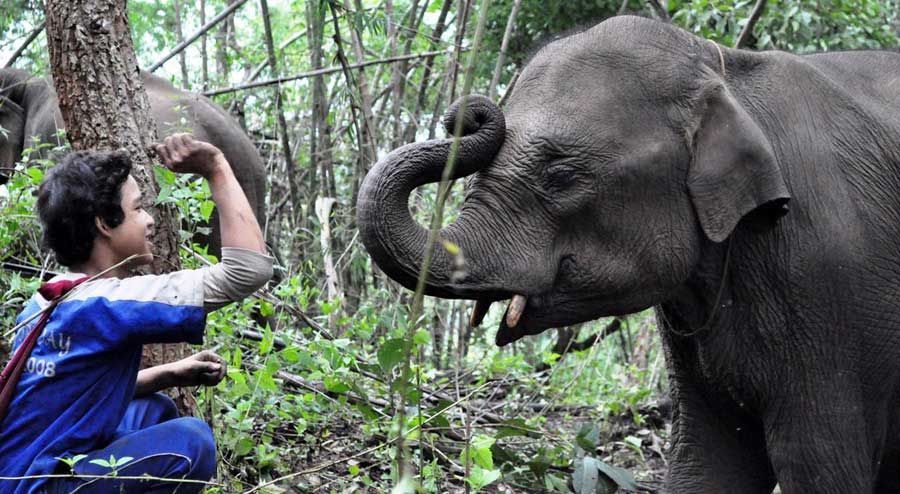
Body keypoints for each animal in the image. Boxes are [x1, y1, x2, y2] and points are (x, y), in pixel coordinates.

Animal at [357, 15, 900, 494]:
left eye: (561, 177)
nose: (467, 114)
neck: (725, 71)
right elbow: (708, 464)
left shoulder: (831, 289)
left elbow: (818, 466)